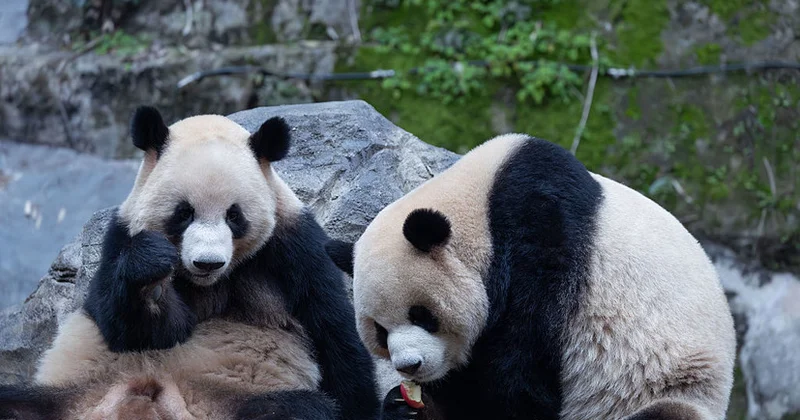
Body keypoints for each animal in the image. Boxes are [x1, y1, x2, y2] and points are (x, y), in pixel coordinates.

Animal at [0, 107, 380, 420]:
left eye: (234, 216)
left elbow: (331, 329)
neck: (207, 283)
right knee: (16, 403)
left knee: (297, 410)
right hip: (72, 395)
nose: (207, 262)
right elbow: (130, 330)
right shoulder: (119, 238)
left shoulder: (294, 247)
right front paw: (150, 277)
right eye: (183, 213)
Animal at [326, 134, 737, 420]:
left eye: (421, 314)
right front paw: (402, 406)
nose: (408, 366)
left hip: (670, 385)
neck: (481, 207)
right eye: (380, 331)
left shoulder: (542, 234)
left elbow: (521, 370)